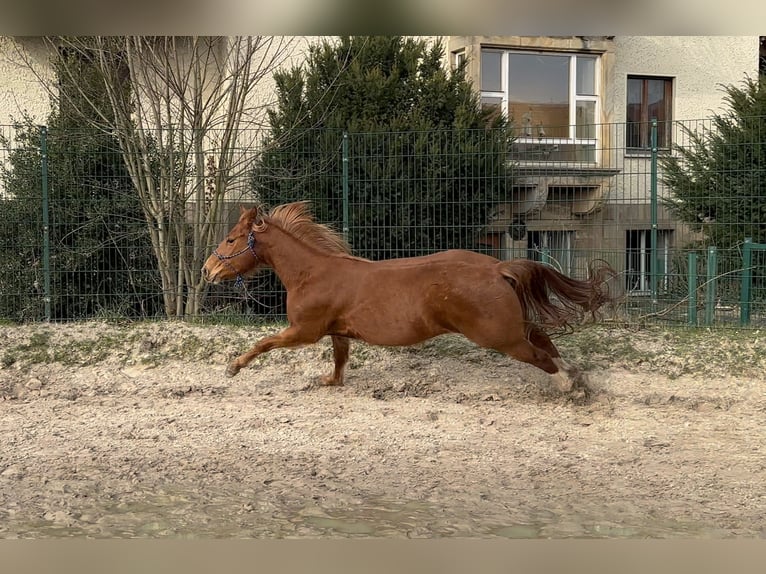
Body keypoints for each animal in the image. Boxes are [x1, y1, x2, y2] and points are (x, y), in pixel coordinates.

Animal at [202, 201, 615, 393]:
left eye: (231, 239)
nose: (208, 270)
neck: (313, 273)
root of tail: (497, 268)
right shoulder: (337, 331)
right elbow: (339, 360)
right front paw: (329, 381)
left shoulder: (304, 330)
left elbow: (264, 343)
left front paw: (232, 367)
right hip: (513, 327)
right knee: (545, 342)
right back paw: (576, 378)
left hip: (500, 336)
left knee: (541, 355)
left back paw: (568, 386)